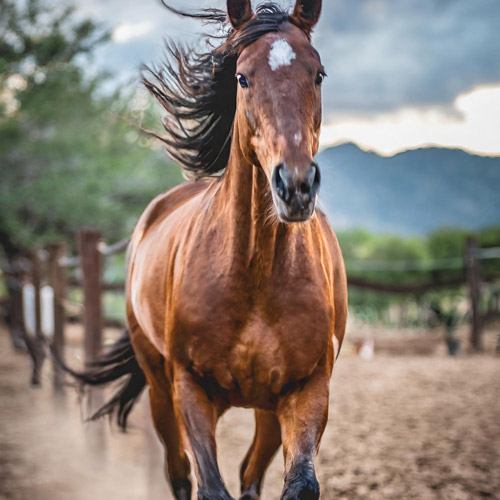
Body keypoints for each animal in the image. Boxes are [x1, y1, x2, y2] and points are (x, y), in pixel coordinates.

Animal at [75, 0, 348, 500]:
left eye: (318, 74)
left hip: (265, 410)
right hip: (160, 389)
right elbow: (209, 485)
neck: (253, 276)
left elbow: (298, 483)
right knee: (179, 473)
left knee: (248, 474)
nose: (296, 185)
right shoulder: (191, 389)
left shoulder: (307, 389)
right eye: (242, 77)